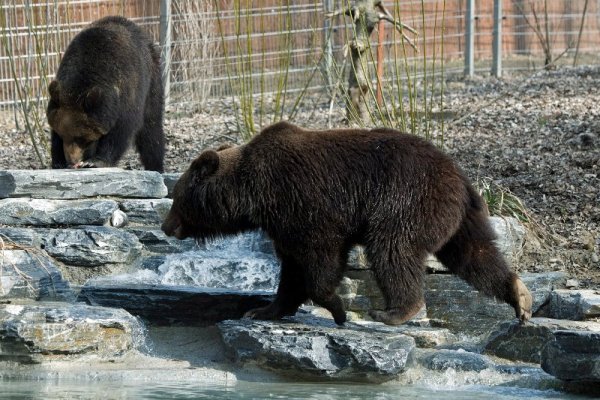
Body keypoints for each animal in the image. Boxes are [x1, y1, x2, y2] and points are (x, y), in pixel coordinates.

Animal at [46, 16, 166, 172]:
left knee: (151, 129)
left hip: (152, 82)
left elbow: (121, 130)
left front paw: (96, 161)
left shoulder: (127, 93)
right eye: (62, 135)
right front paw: (58, 161)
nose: (72, 161)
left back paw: (155, 166)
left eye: (81, 138)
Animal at [162, 121, 532, 324]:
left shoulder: (305, 203)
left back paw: (395, 311)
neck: (254, 193)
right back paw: (520, 295)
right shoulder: (282, 224)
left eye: (176, 197)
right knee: (475, 254)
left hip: (404, 200)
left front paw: (337, 308)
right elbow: (291, 270)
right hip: (458, 218)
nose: (166, 226)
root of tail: (460, 177)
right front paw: (264, 309)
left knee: (393, 250)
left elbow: (320, 258)